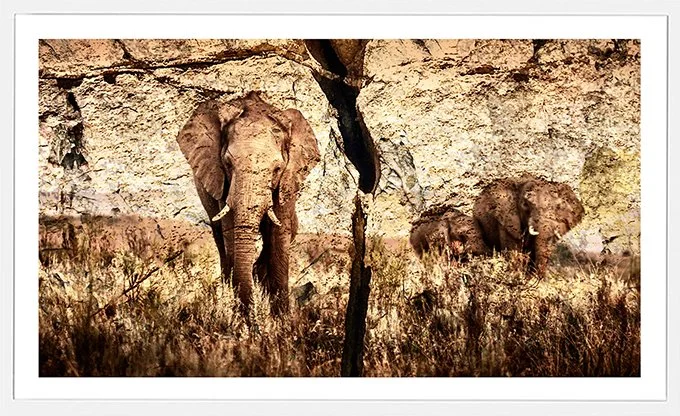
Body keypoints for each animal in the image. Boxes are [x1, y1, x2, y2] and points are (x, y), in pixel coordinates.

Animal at [176, 91, 320, 316]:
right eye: (228, 164)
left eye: (277, 169)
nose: (248, 313)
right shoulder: (221, 181)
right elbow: (230, 230)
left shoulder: (289, 178)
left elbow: (280, 232)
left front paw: (281, 318)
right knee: (219, 236)